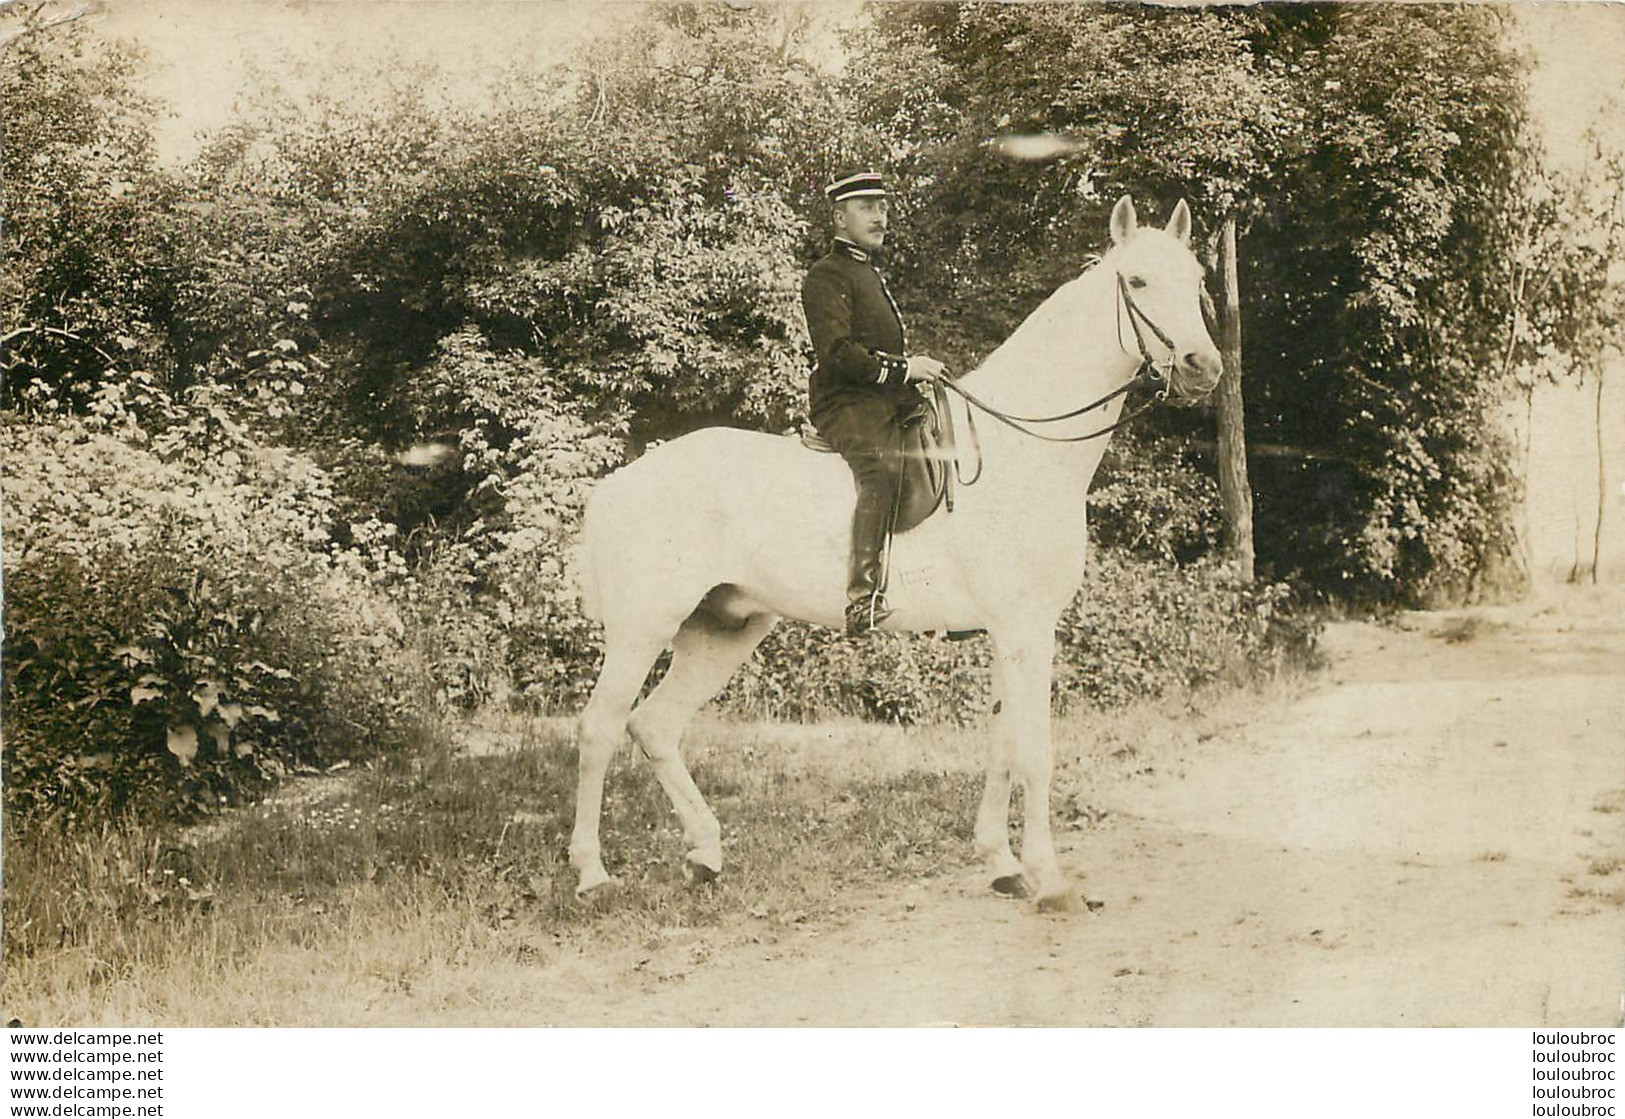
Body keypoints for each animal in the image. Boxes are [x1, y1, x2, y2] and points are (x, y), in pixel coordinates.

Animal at [565, 194, 1215, 909]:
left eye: (1198, 278)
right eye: (1138, 282)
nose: (1203, 368)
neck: (1020, 452)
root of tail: (617, 482)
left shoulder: (1009, 632)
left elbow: (1002, 743)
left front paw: (1001, 863)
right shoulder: (1026, 630)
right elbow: (1034, 751)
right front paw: (1049, 879)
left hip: (725, 629)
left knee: (654, 725)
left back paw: (705, 853)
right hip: (643, 627)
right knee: (599, 728)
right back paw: (592, 872)